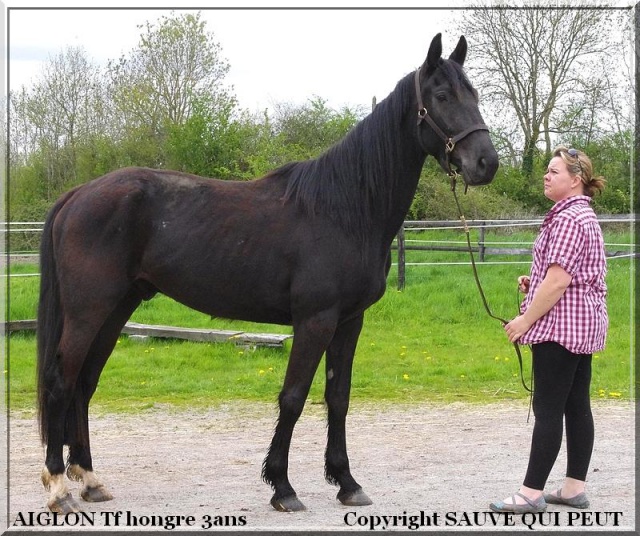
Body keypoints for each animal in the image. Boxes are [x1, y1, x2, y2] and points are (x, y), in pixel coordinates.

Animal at [36, 32, 500, 510]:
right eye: (442, 96)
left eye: (475, 95)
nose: (486, 163)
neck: (346, 208)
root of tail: (78, 194)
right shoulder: (315, 321)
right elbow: (293, 397)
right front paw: (282, 486)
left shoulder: (350, 322)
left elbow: (338, 397)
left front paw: (346, 481)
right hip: (89, 311)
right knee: (60, 382)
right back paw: (59, 488)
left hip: (117, 309)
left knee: (84, 384)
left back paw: (90, 480)